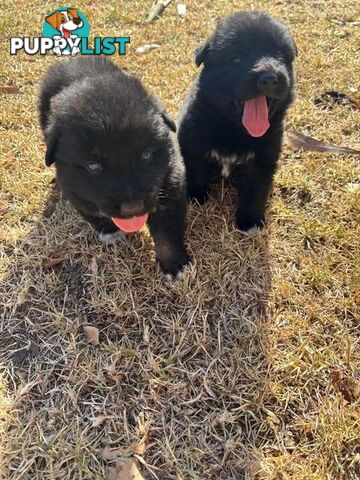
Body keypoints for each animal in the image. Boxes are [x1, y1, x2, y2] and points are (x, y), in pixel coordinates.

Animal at [39, 56, 190, 278]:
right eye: (93, 166)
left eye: (146, 155)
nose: (133, 207)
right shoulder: (76, 190)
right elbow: (92, 212)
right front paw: (109, 230)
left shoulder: (171, 183)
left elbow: (167, 234)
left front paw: (174, 264)